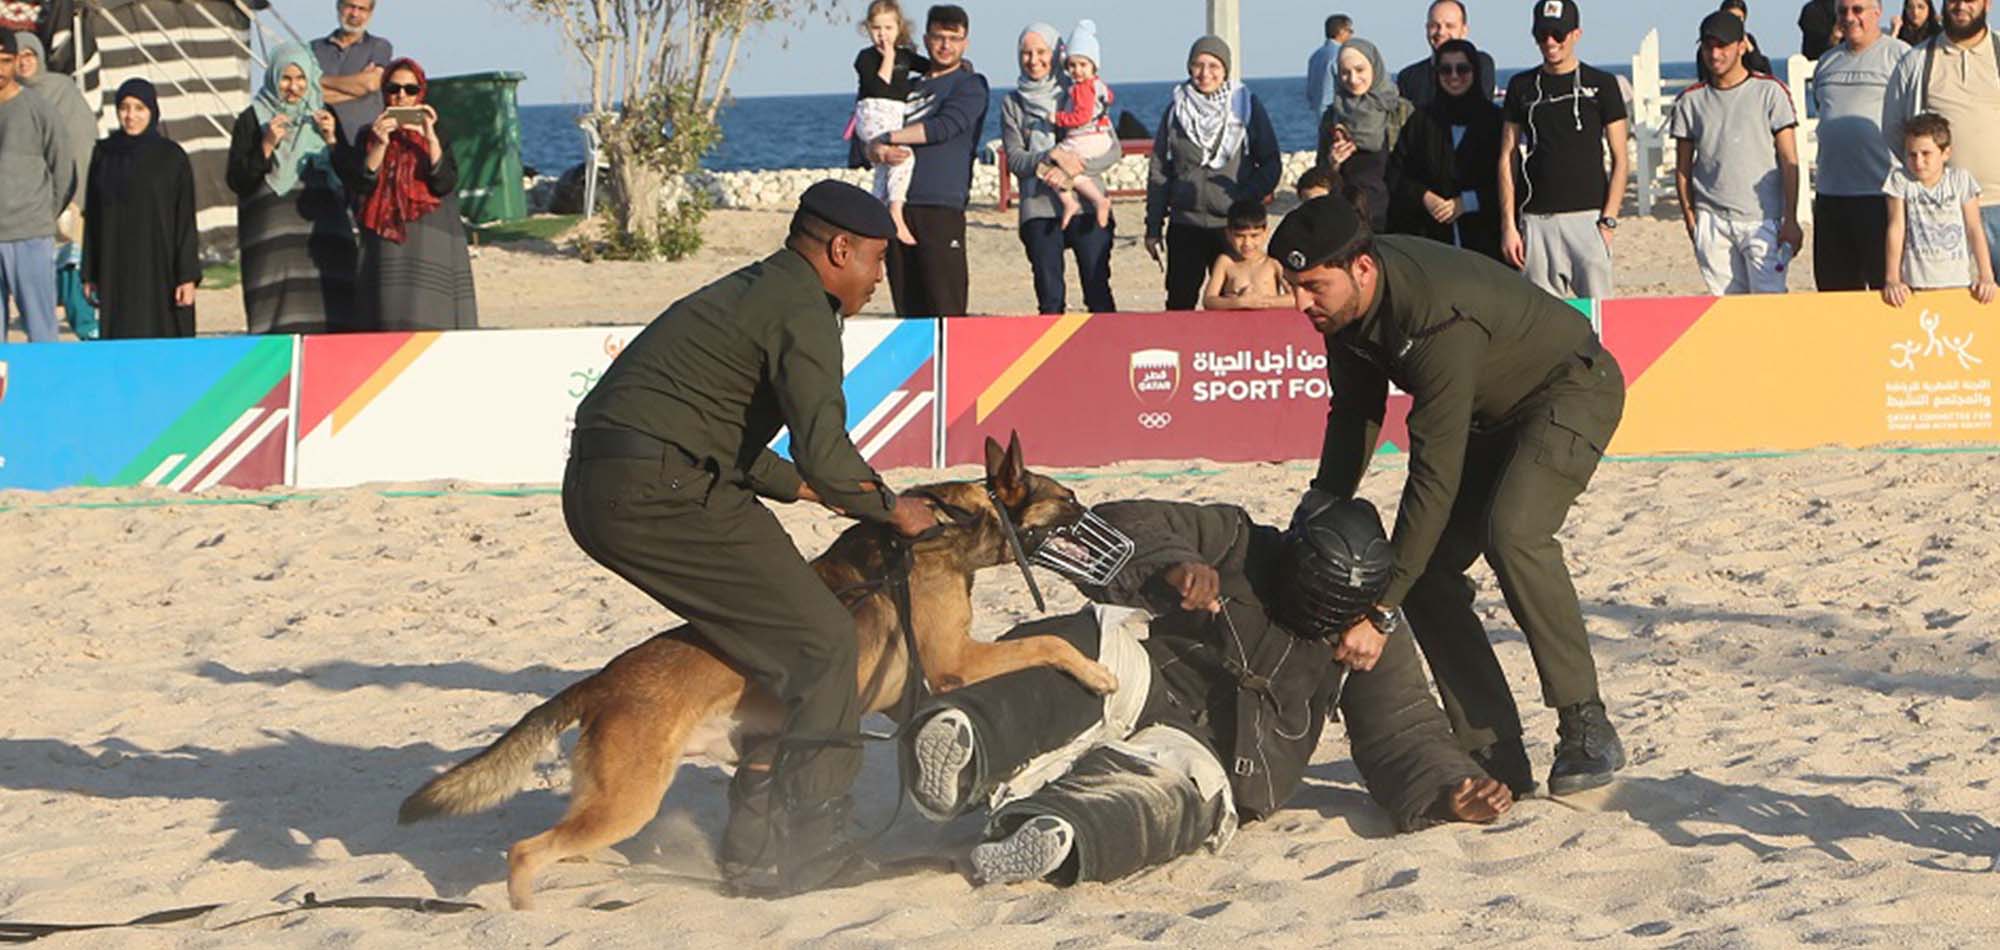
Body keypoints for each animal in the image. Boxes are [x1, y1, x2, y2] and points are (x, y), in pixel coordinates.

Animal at [390, 432, 1112, 908]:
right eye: (1069, 498)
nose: (1101, 515)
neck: (949, 525)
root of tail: (603, 682)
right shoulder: (956, 663)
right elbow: (1048, 644)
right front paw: (1096, 674)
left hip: (632, 793)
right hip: (629, 800)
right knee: (527, 851)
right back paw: (528, 909)